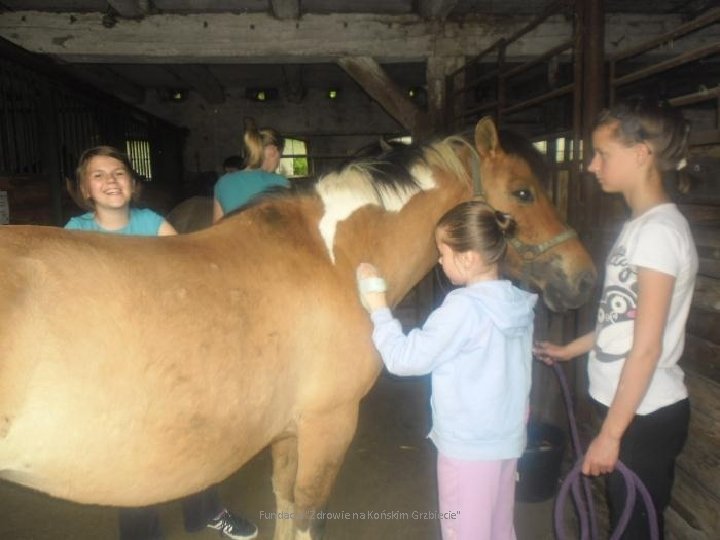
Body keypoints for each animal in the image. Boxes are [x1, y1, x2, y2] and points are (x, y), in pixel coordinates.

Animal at [0, 116, 596, 536]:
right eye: (523, 192)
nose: (585, 279)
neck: (329, 257)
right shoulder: (328, 426)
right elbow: (309, 514)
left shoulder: (287, 434)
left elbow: (284, 507)